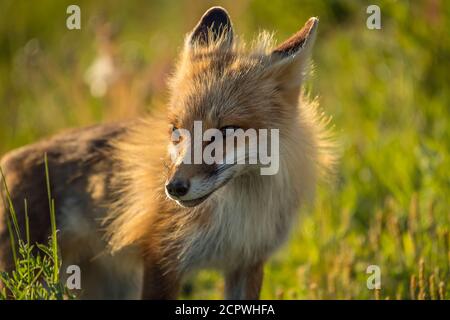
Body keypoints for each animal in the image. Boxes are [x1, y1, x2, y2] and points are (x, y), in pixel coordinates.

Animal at [0, 6, 334, 298]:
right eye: (176, 130)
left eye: (226, 131)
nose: (173, 188)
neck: (240, 211)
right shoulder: (163, 258)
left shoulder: (247, 262)